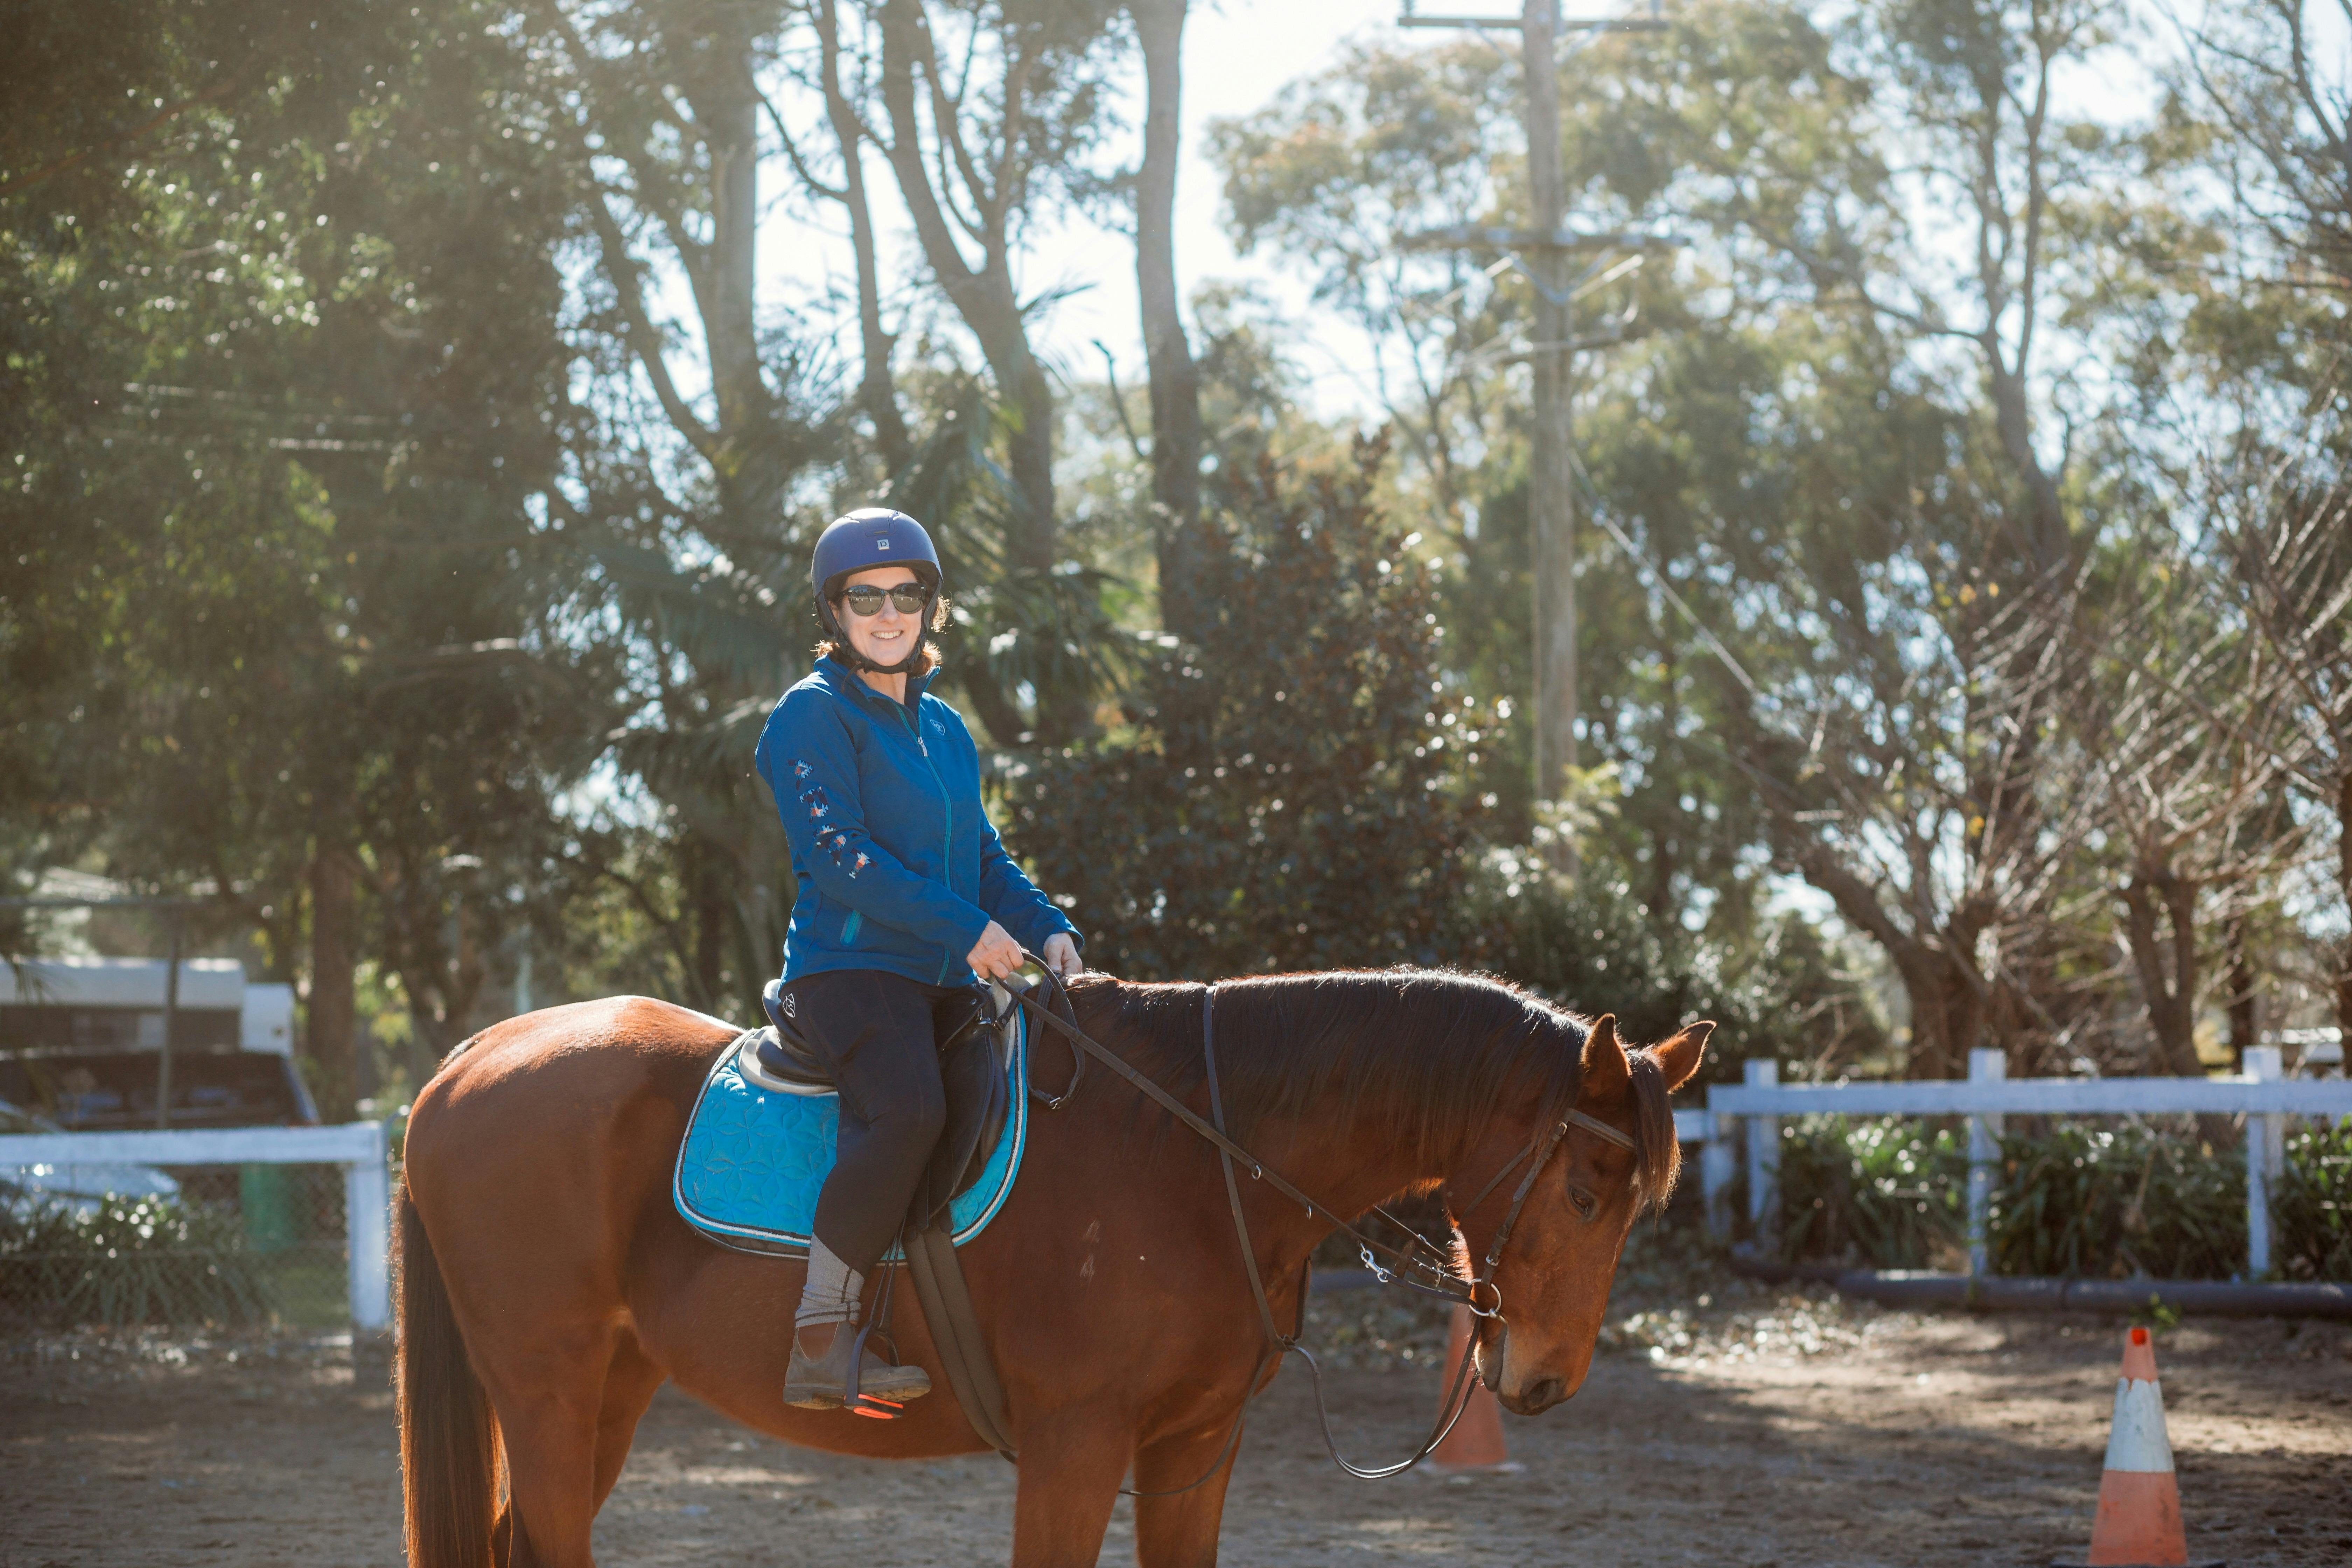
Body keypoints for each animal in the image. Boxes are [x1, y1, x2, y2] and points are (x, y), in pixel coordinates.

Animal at [394, 967, 1711, 1567]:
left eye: (1638, 1203)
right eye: (1584, 1192)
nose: (1541, 1381)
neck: (1197, 1154)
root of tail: (469, 1058)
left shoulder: (1194, 1446)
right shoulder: (1076, 1444)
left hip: (609, 1390)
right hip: (548, 1391)